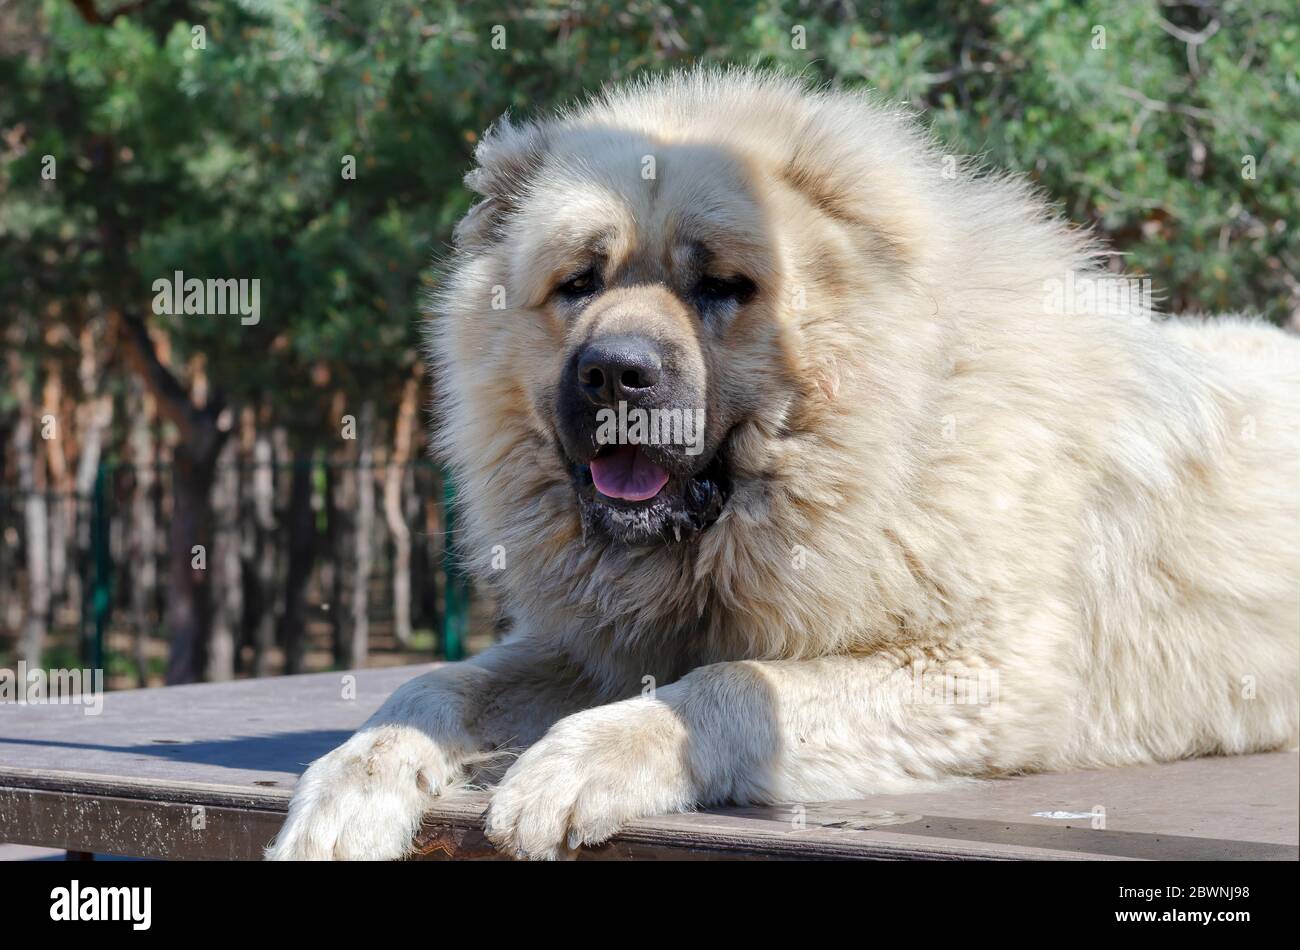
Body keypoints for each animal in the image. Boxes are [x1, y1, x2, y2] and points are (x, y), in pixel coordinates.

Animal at [266, 66, 1300, 862]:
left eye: (723, 285)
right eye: (579, 283)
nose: (615, 371)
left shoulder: (978, 673)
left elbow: (728, 686)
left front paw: (570, 766)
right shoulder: (596, 647)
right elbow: (434, 686)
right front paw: (344, 794)